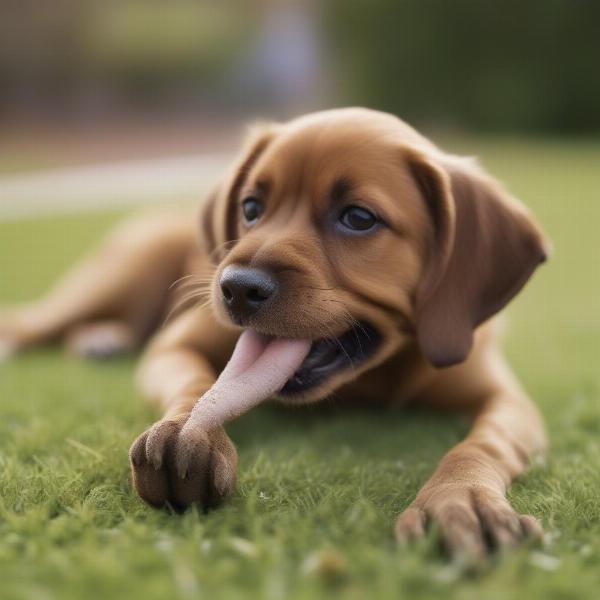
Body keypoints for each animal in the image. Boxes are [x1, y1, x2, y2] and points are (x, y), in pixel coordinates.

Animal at [0, 106, 548, 556]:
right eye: (250, 208)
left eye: (359, 218)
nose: (236, 288)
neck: (370, 379)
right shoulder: (176, 344)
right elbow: (194, 385)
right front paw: (186, 429)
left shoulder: (509, 401)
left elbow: (482, 444)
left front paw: (461, 497)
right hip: (124, 270)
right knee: (35, 318)